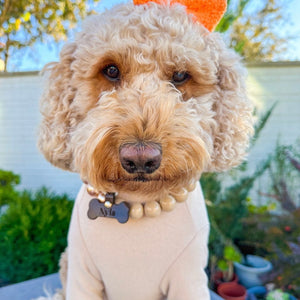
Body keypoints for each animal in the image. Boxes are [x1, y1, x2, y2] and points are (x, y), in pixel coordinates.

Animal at [37, 0, 253, 300]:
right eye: (111, 70)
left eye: (181, 75)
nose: (140, 158)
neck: (137, 203)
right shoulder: (82, 274)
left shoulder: (188, 279)